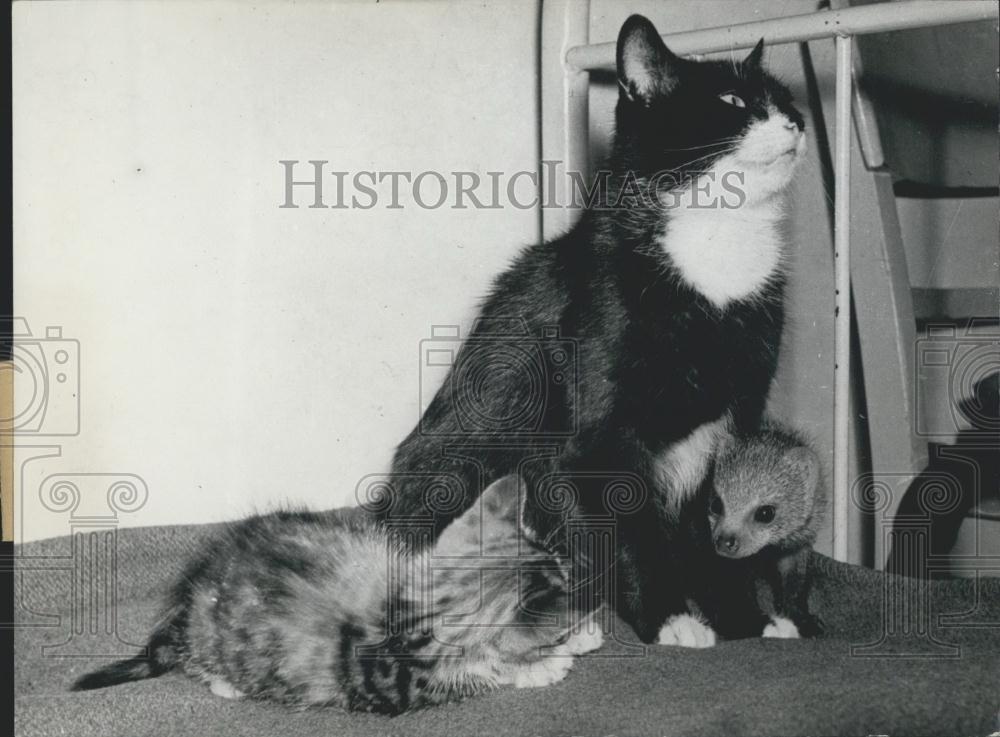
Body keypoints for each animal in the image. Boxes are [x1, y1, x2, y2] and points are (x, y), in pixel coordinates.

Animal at [74, 478, 600, 712]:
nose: (578, 581)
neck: (415, 608)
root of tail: (191, 593)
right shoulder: (402, 687)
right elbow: (490, 670)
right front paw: (550, 661)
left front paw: (581, 636)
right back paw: (226, 683)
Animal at [378, 12, 808, 644]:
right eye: (732, 100)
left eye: (787, 100)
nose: (797, 123)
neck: (715, 247)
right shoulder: (598, 435)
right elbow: (629, 527)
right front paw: (671, 618)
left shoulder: (739, 414)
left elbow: (721, 517)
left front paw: (746, 619)